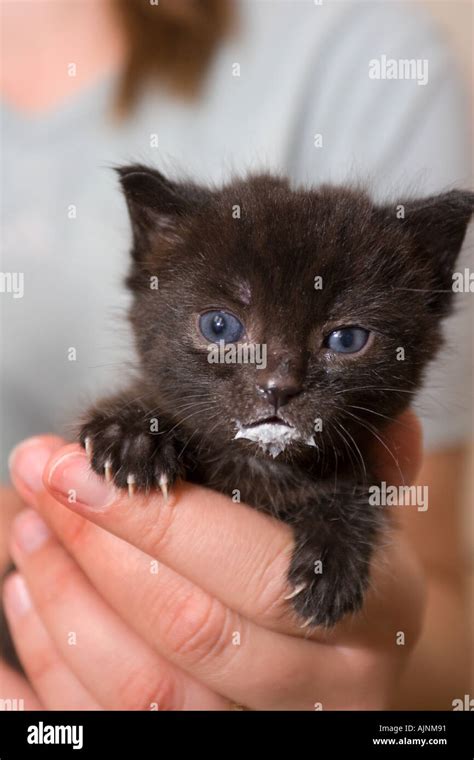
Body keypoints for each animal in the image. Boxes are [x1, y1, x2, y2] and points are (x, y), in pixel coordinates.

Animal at [78, 168, 470, 628]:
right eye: (219, 326)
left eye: (347, 339)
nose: (278, 385)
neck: (260, 468)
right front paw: (132, 436)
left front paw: (332, 559)